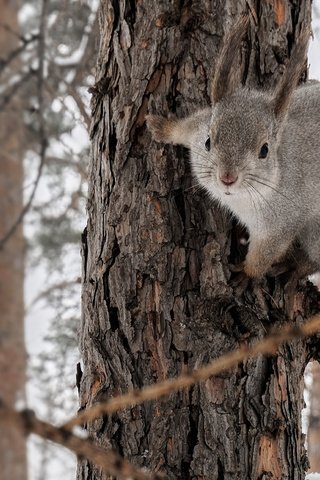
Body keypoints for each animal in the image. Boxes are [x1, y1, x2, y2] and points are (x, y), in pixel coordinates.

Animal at [146, 18, 320, 280]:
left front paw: (244, 275)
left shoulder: (280, 223)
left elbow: (262, 258)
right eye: (208, 141)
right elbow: (185, 128)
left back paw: (294, 267)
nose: (227, 177)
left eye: (264, 150)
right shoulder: (199, 128)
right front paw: (162, 127)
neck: (240, 200)